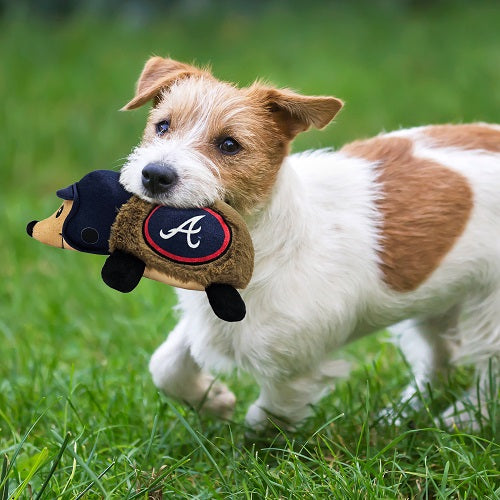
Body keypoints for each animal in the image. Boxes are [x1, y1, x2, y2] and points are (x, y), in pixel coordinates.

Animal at [119, 56, 498, 432]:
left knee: (488, 371)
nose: (154, 174)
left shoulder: (295, 368)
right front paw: (213, 400)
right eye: (162, 126)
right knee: (440, 358)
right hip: (436, 300)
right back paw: (402, 415)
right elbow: (165, 365)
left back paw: (465, 418)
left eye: (229, 145)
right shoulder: (207, 322)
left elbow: (267, 417)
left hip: (488, 309)